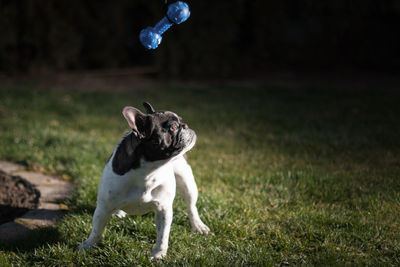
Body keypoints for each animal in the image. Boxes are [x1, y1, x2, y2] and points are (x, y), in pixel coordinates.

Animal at [76, 102, 211, 260]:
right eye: (173, 127)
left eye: (180, 123)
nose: (186, 125)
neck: (149, 170)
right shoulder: (103, 207)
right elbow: (97, 229)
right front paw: (87, 246)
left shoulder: (163, 209)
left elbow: (163, 235)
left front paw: (158, 254)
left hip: (187, 182)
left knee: (191, 206)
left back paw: (198, 225)